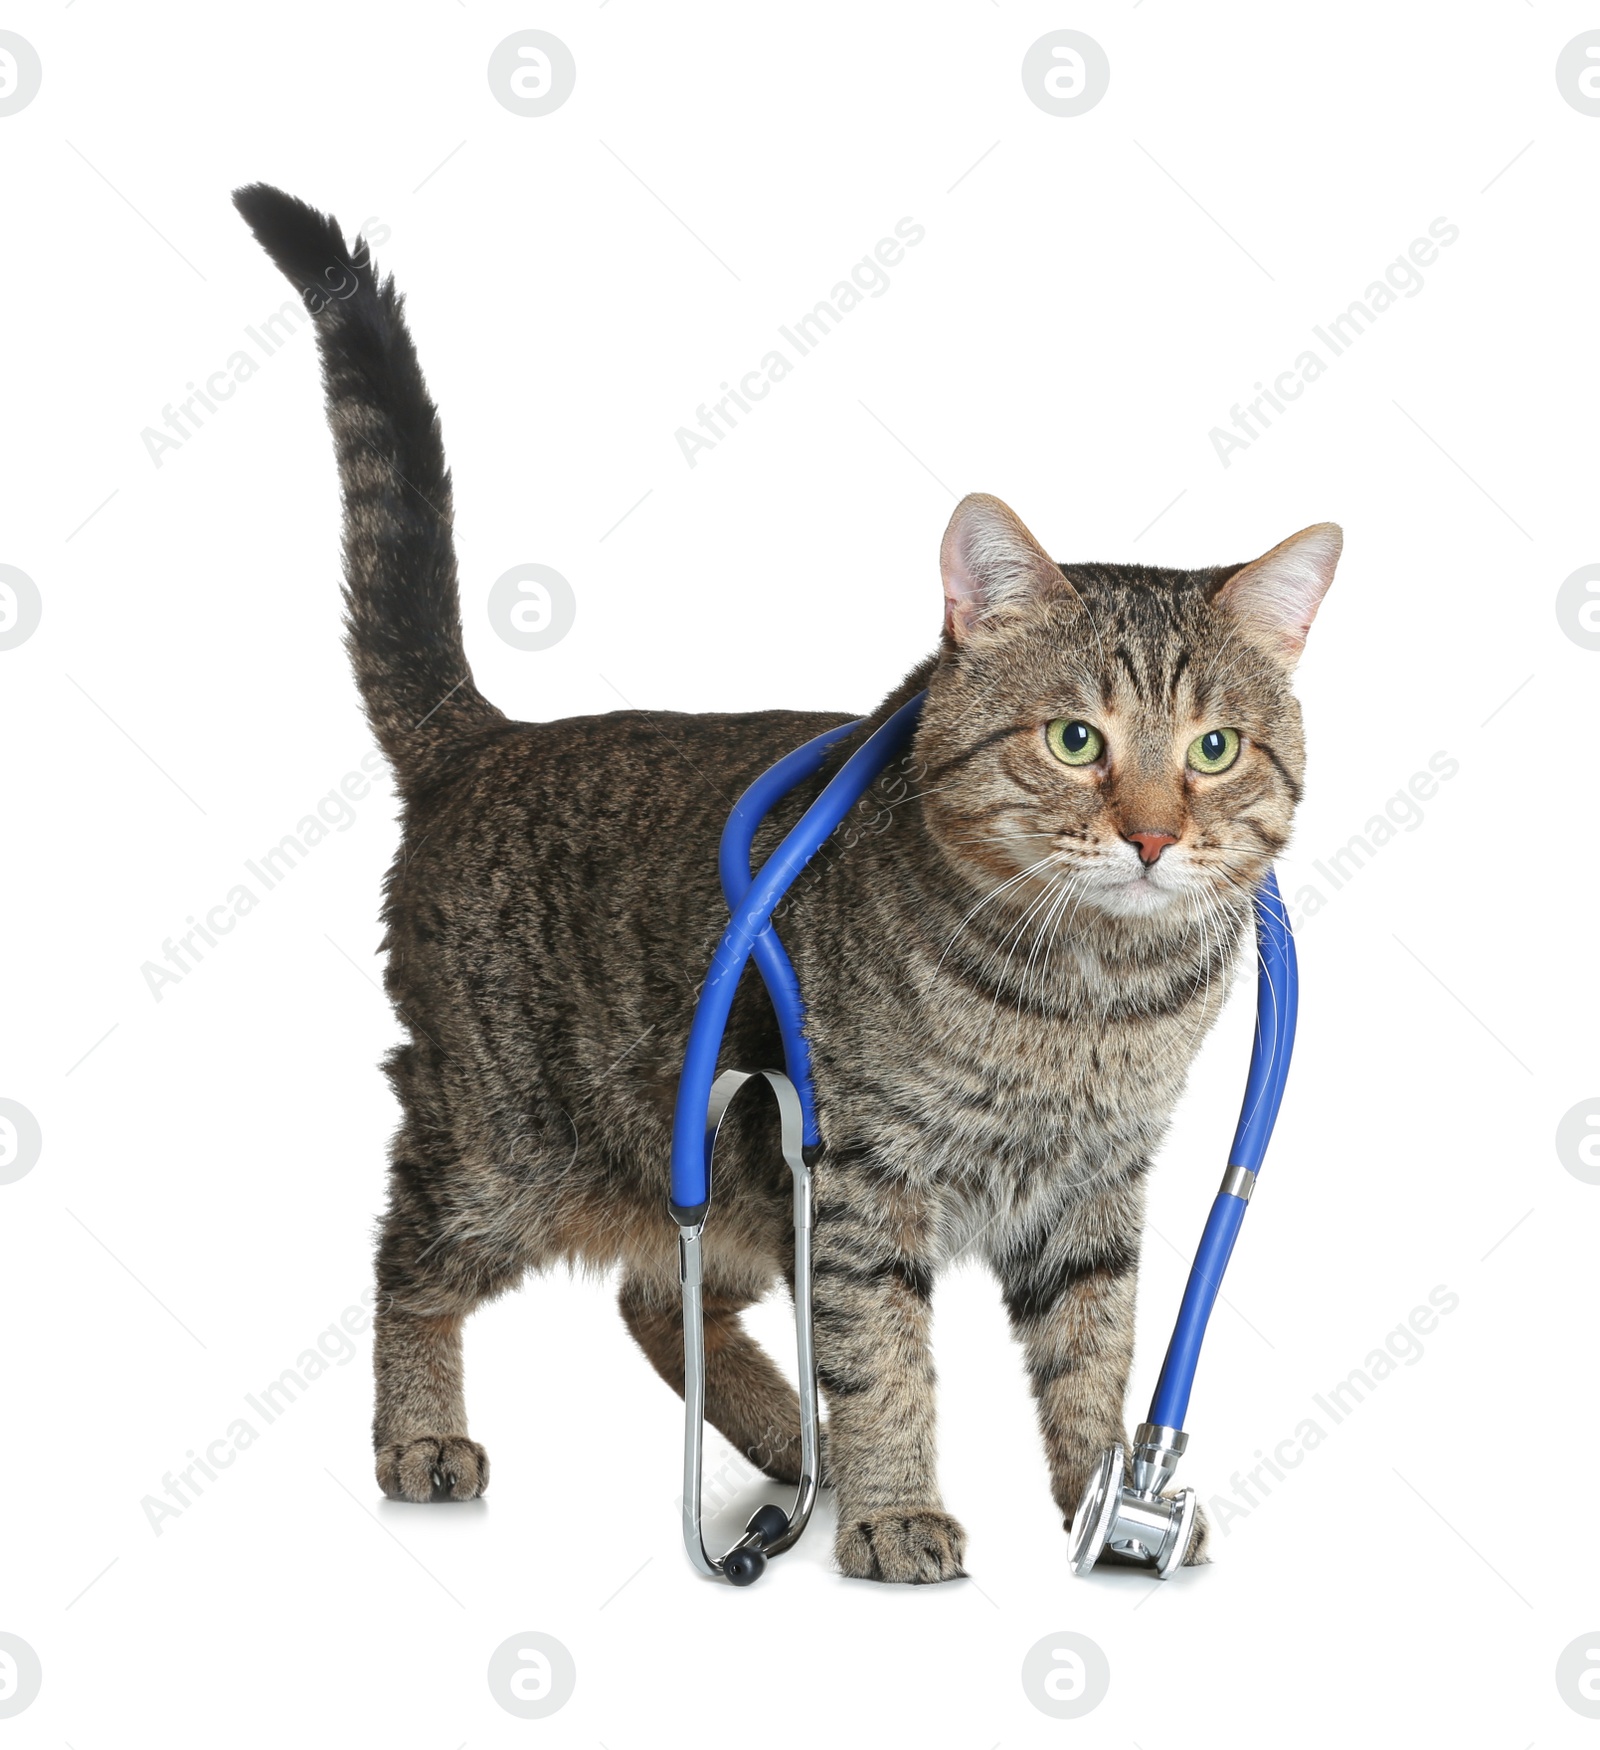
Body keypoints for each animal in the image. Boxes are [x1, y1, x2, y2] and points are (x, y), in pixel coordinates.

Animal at [234, 184, 1337, 1582]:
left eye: (1213, 750)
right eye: (1074, 740)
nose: (1150, 836)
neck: (1087, 991)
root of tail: (485, 739)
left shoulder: (1094, 1193)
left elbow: (1096, 1351)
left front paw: (1107, 1503)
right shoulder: (860, 1175)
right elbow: (883, 1358)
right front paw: (891, 1507)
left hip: (729, 1181)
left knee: (656, 1295)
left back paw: (772, 1437)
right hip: (506, 1145)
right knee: (407, 1266)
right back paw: (426, 1434)